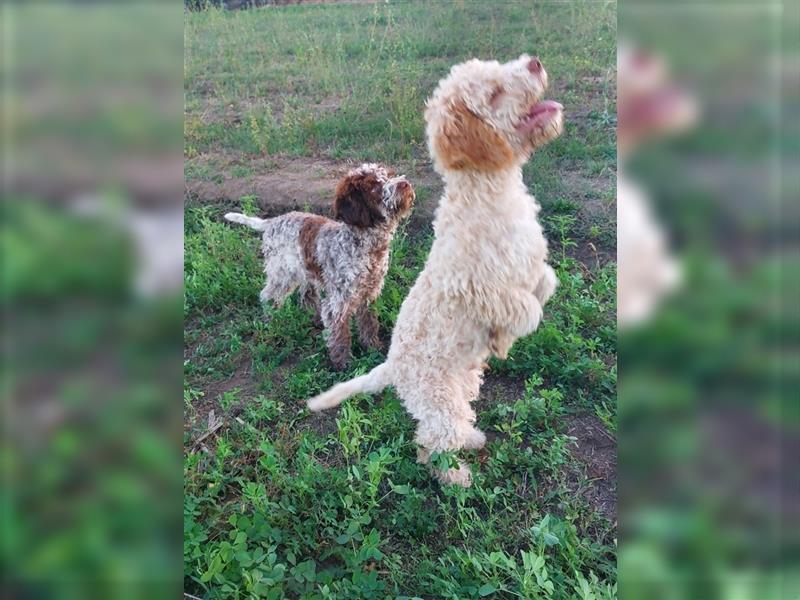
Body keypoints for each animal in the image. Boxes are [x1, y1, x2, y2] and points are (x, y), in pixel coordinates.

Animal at [223, 164, 412, 370]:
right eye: (373, 187)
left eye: (389, 176)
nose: (404, 183)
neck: (365, 246)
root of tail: (271, 222)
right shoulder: (338, 302)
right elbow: (340, 335)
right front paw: (343, 364)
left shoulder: (369, 293)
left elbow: (369, 323)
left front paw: (373, 347)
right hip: (282, 274)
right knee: (268, 295)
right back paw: (271, 320)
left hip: (305, 271)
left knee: (306, 296)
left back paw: (314, 319)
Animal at [306, 55, 564, 488]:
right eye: (494, 92)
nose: (534, 62)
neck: (487, 192)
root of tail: (392, 366)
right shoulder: (476, 286)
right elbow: (525, 308)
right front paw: (506, 338)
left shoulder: (530, 266)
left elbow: (545, 283)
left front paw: (505, 337)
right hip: (439, 402)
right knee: (429, 444)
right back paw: (457, 476)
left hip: (463, 385)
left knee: (445, 430)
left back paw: (473, 438)